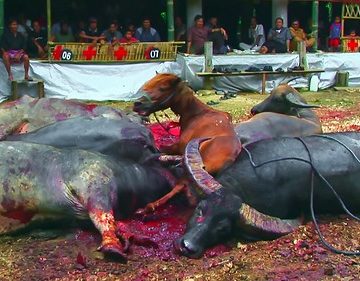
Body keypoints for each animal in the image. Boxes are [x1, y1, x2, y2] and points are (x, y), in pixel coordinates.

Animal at [133, 73, 242, 211]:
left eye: (163, 88)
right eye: (148, 84)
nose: (137, 104)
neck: (195, 113)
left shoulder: (178, 147)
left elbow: (159, 148)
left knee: (180, 186)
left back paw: (150, 206)